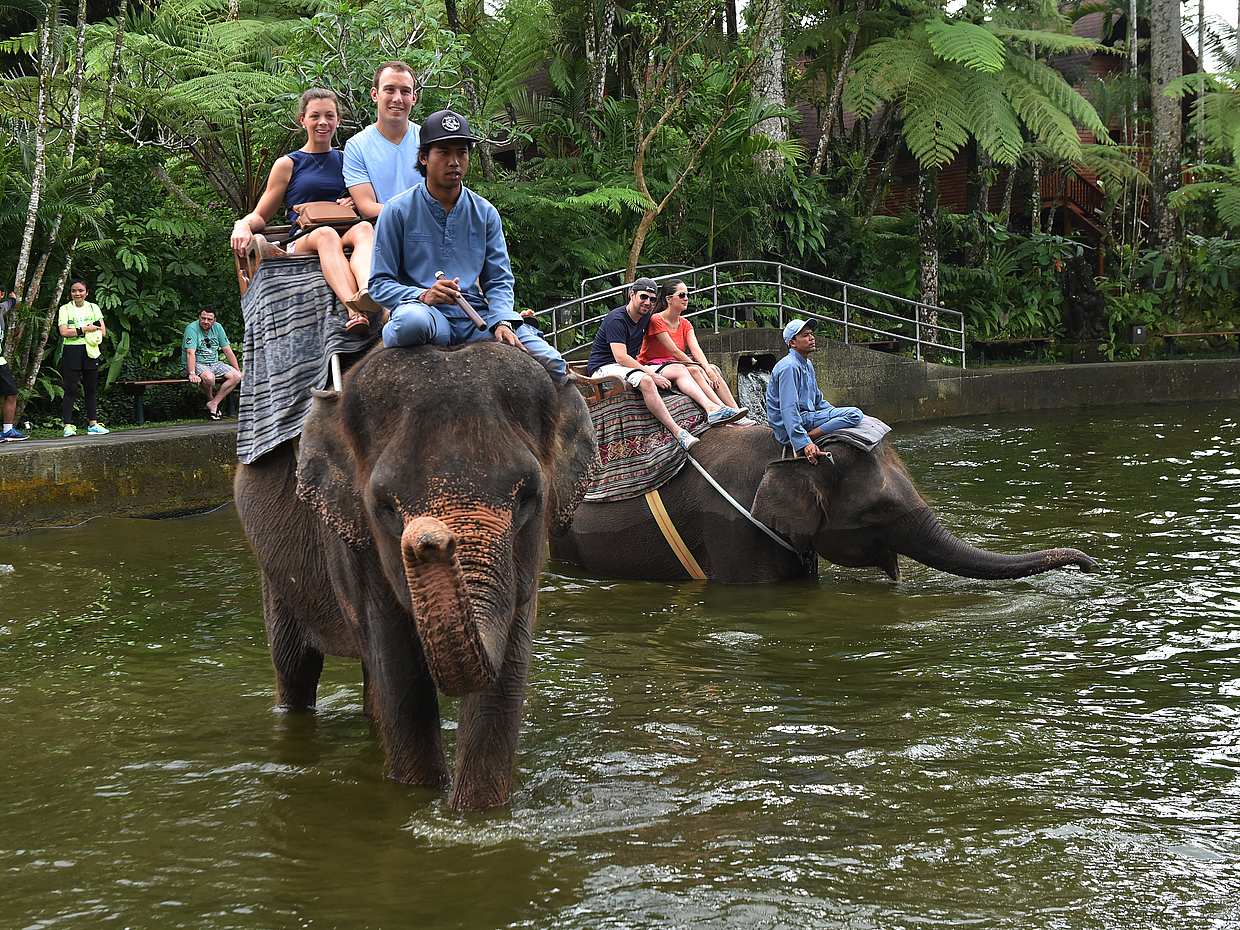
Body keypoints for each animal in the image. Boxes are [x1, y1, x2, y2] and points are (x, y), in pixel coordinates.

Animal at [234, 342, 596, 810]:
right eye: (386, 507)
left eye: (527, 498)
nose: (428, 539)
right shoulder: (352, 540)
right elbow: (398, 662)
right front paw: (417, 796)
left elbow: (507, 662)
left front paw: (475, 813)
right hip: (274, 572)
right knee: (296, 667)